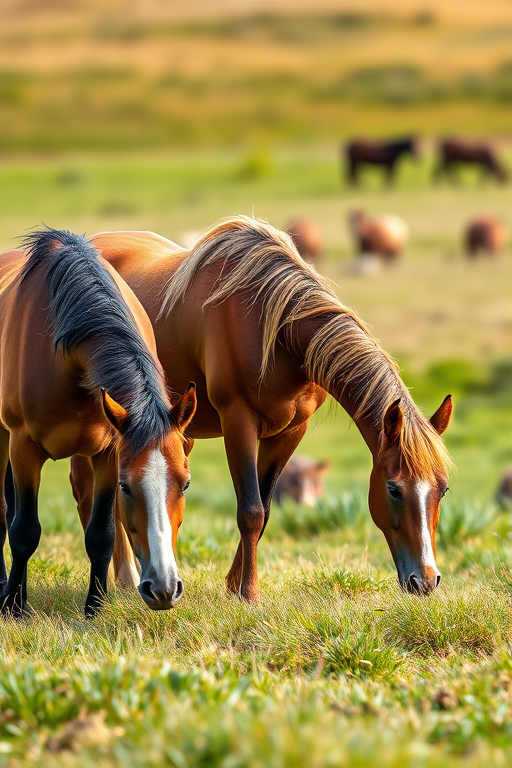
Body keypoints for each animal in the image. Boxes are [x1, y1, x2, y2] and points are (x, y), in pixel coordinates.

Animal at [0, 228, 196, 617]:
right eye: (126, 487)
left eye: (185, 484)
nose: (163, 589)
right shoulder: (23, 446)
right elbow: (24, 531)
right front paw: (13, 607)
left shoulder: (108, 450)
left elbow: (101, 534)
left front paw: (95, 607)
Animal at [70, 216, 453, 605]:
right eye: (393, 489)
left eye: (443, 490)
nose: (426, 580)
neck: (276, 326)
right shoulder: (238, 420)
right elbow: (250, 511)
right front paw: (250, 594)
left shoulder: (290, 431)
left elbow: (265, 510)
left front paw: (233, 586)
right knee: (93, 495)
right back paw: (126, 580)